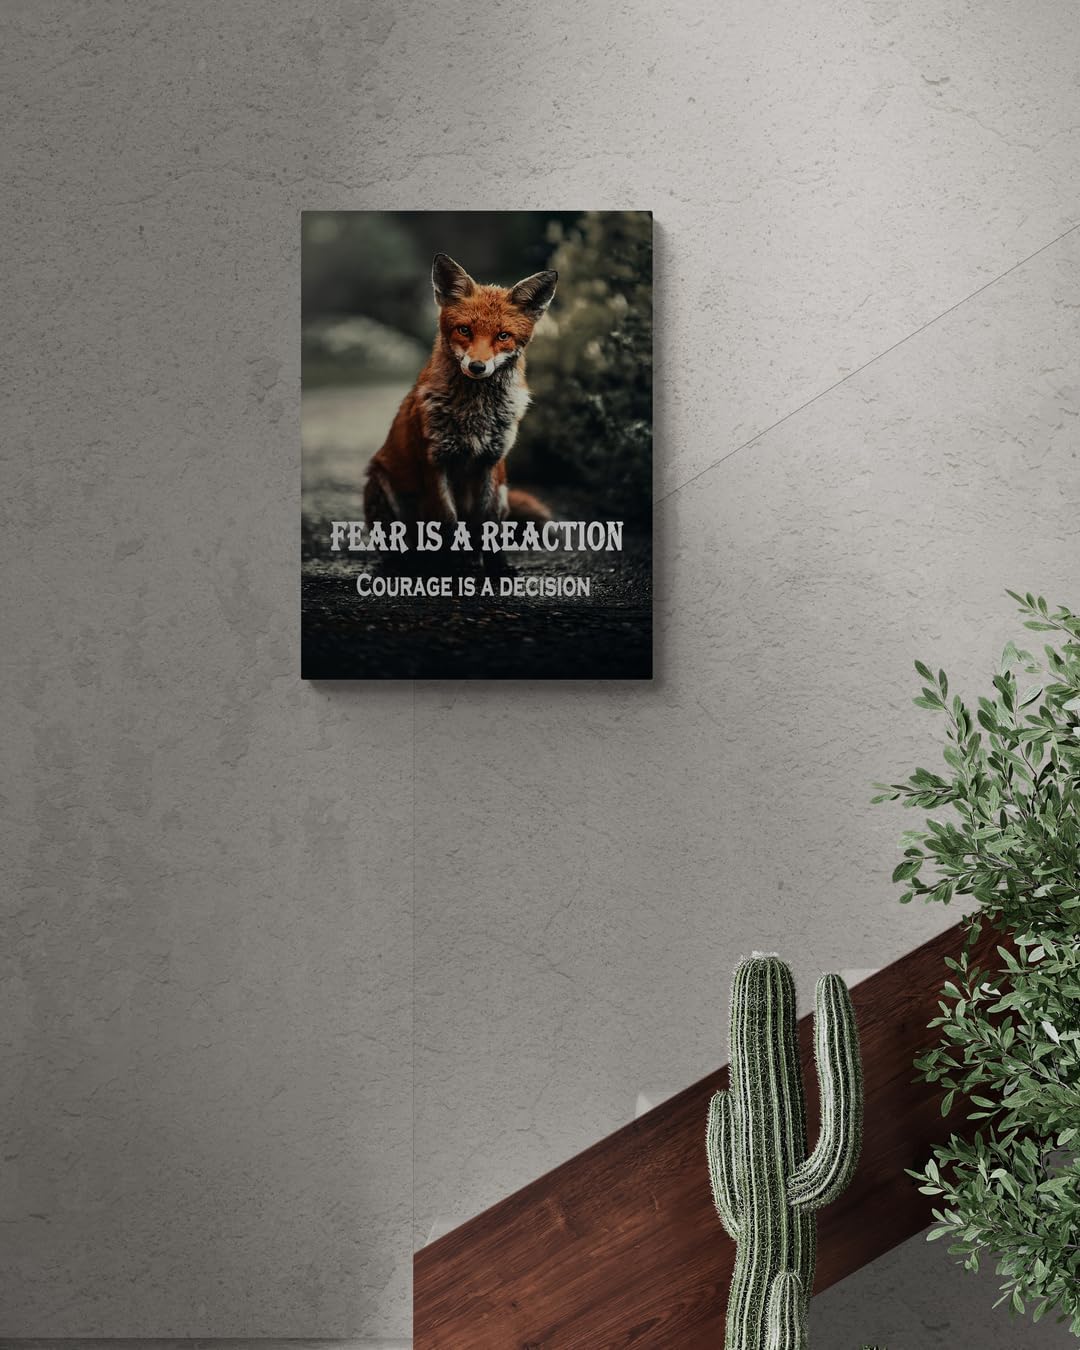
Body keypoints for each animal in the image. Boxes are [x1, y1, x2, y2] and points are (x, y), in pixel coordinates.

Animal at [363, 252, 557, 564]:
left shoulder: (491, 461)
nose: (477, 366)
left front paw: (494, 563)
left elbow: (488, 522)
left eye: (503, 336)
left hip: (504, 489)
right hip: (381, 484)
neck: (475, 413)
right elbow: (447, 520)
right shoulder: (435, 461)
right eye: (464, 330)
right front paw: (457, 564)